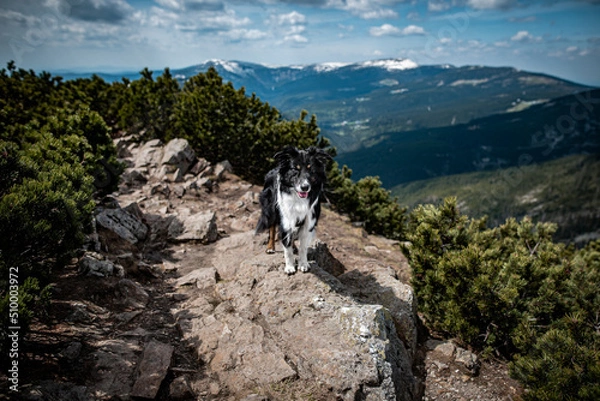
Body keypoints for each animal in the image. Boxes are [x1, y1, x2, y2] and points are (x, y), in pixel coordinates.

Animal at [256, 145, 332, 274]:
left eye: (311, 170)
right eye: (295, 169)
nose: (305, 187)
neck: (298, 200)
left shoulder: (309, 223)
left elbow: (303, 247)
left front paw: (303, 264)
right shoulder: (286, 219)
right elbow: (287, 249)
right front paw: (290, 267)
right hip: (271, 210)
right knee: (272, 229)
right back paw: (270, 247)